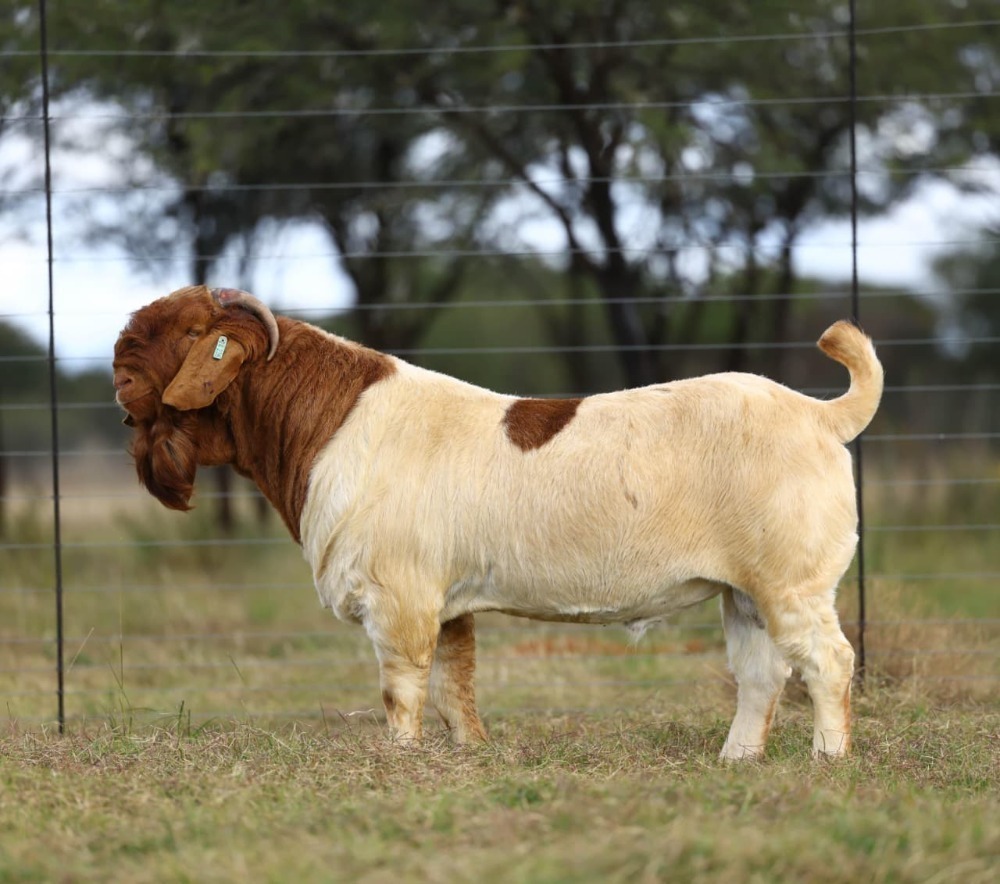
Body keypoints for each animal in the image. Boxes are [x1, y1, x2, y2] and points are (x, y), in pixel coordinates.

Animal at [113, 284, 883, 758]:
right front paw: (469, 753)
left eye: (189, 332)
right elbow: (455, 685)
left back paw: (826, 759)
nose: (117, 378)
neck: (330, 421)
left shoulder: (399, 598)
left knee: (829, 661)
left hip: (791, 583)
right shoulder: (447, 604)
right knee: (761, 674)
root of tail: (820, 414)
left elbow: (402, 689)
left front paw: (399, 759)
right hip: (745, 592)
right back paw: (735, 760)